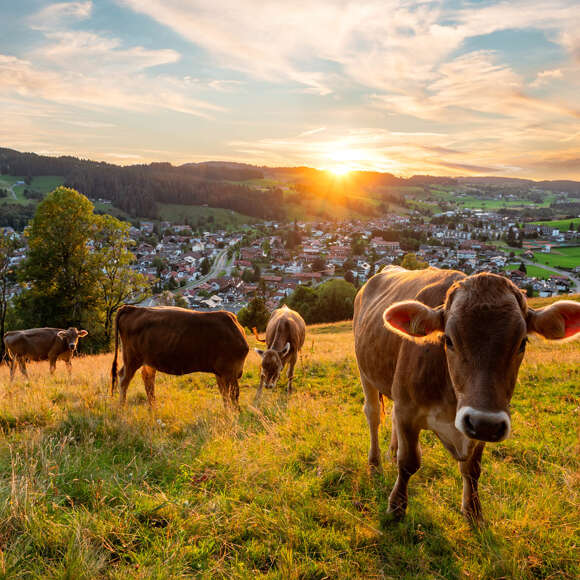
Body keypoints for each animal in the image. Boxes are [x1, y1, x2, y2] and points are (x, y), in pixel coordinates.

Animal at [111, 304, 249, 408]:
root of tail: (132, 308)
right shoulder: (230, 370)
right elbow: (234, 395)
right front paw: (236, 415)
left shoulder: (220, 372)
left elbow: (224, 395)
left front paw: (228, 413)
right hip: (131, 358)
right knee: (124, 379)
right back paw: (121, 408)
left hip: (148, 360)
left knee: (147, 378)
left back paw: (153, 407)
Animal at [354, 266, 580, 520]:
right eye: (449, 340)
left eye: (522, 343)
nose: (485, 423)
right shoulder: (407, 411)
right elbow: (409, 462)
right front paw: (396, 506)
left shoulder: (482, 422)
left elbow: (472, 469)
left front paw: (473, 511)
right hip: (365, 372)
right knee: (373, 415)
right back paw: (375, 463)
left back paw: (391, 452)